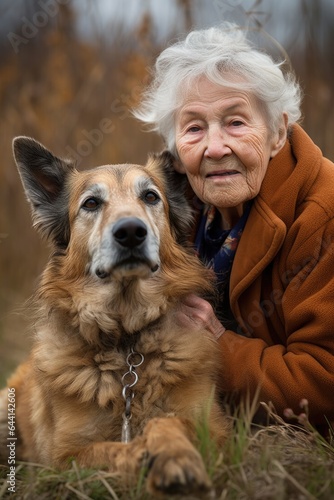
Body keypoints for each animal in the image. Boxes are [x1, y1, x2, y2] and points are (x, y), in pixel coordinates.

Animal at [0, 137, 228, 496]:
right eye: (91, 203)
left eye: (150, 197)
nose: (131, 231)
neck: (127, 340)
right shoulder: (62, 459)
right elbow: (114, 448)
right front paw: (146, 454)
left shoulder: (216, 431)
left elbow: (166, 420)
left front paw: (175, 454)